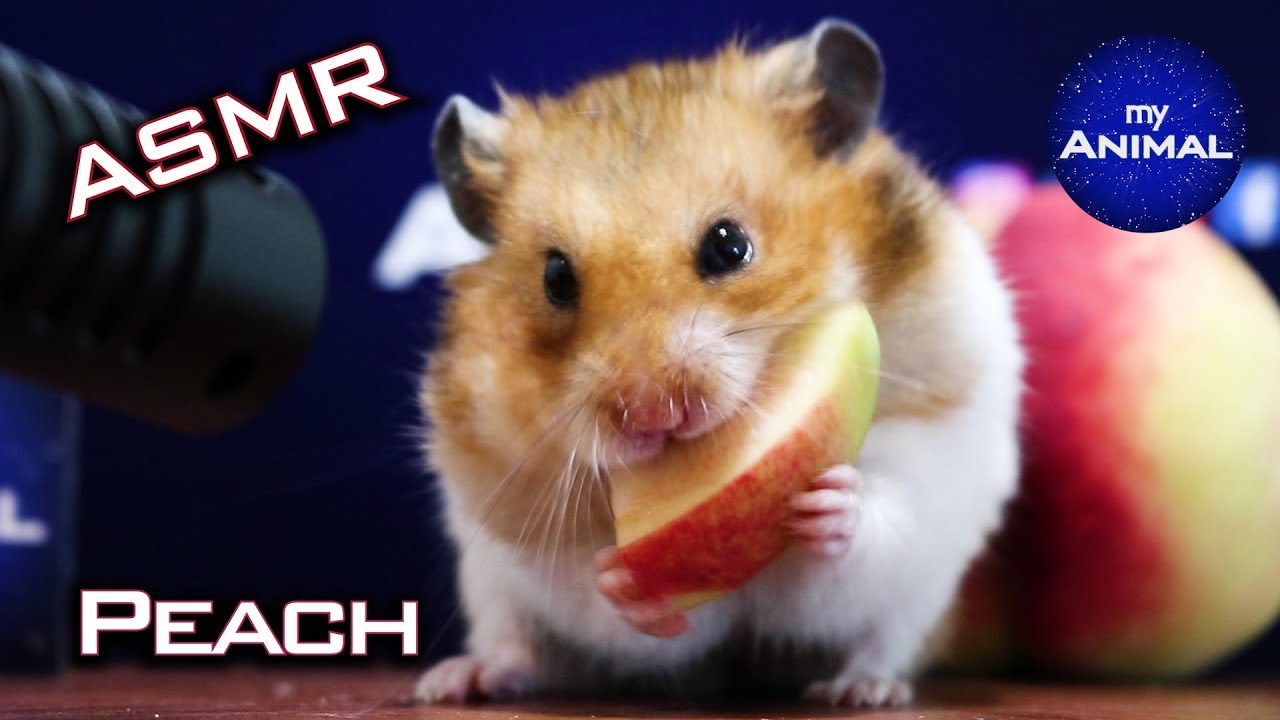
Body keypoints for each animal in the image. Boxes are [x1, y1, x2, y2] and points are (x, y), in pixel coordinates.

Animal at [415, 18, 1024, 708]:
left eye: (730, 246)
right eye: (556, 279)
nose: (652, 414)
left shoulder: (931, 463)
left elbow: (876, 526)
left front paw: (833, 504)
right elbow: (603, 600)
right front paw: (618, 581)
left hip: (922, 603)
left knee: (882, 640)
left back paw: (862, 690)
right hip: (487, 583)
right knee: (519, 648)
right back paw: (455, 680)